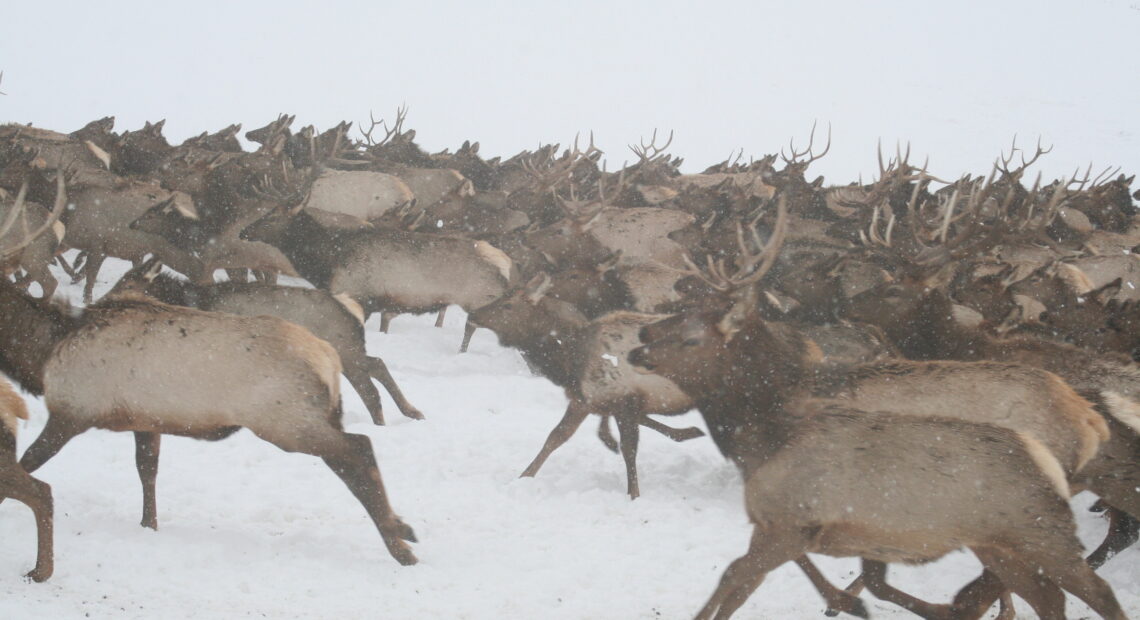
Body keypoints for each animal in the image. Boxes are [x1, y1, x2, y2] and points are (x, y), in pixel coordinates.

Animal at [0, 273, 419, 565]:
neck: (42, 351)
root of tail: (328, 357)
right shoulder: (144, 420)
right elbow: (147, 469)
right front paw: (149, 525)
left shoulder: (72, 411)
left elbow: (27, 463)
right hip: (312, 417)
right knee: (353, 455)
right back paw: (400, 534)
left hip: (287, 422)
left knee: (358, 448)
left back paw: (400, 538)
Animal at [108, 257, 424, 426]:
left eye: (127, 283)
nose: (106, 301)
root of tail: (351, 307)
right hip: (350, 350)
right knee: (377, 366)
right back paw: (410, 411)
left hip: (346, 350)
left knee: (370, 386)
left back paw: (386, 422)